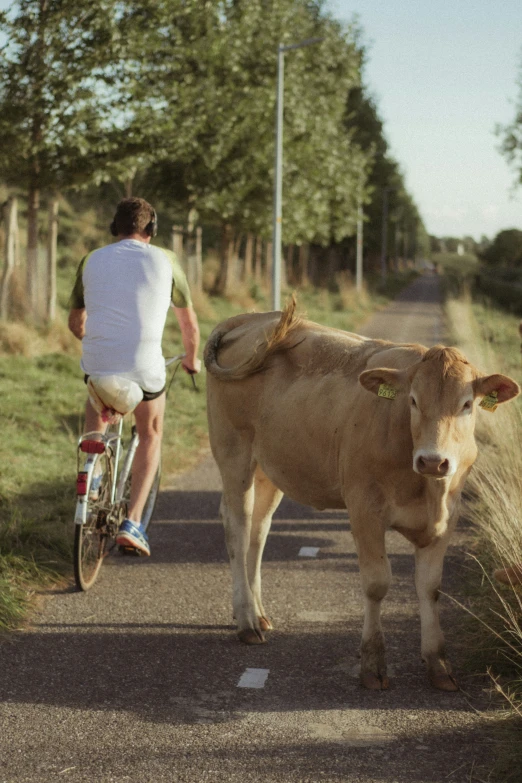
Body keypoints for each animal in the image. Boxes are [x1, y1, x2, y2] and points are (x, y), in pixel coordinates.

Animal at [203, 302, 516, 692]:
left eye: (467, 405)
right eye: (413, 401)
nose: (432, 460)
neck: (427, 489)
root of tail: (253, 317)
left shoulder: (448, 517)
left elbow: (430, 588)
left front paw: (439, 665)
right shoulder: (364, 509)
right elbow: (377, 583)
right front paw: (372, 665)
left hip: (270, 468)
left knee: (258, 532)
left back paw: (259, 614)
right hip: (235, 455)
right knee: (238, 528)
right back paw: (246, 621)